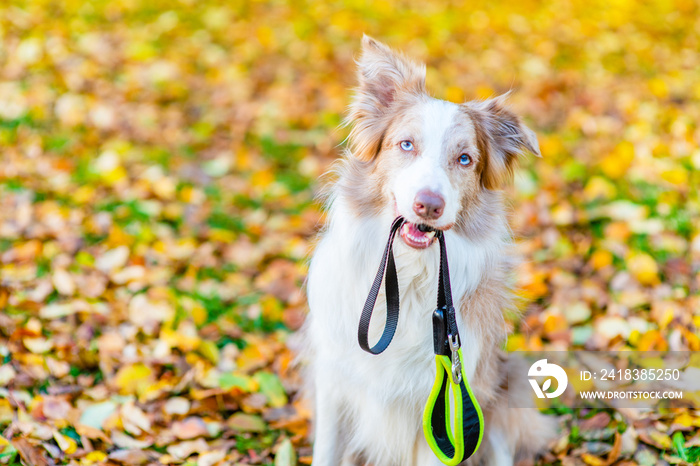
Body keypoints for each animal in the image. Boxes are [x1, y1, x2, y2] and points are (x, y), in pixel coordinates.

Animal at [304, 37, 556, 466]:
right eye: (406, 144)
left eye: (464, 159)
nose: (429, 205)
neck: (407, 276)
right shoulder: (334, 383)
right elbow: (326, 451)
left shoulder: (446, 405)